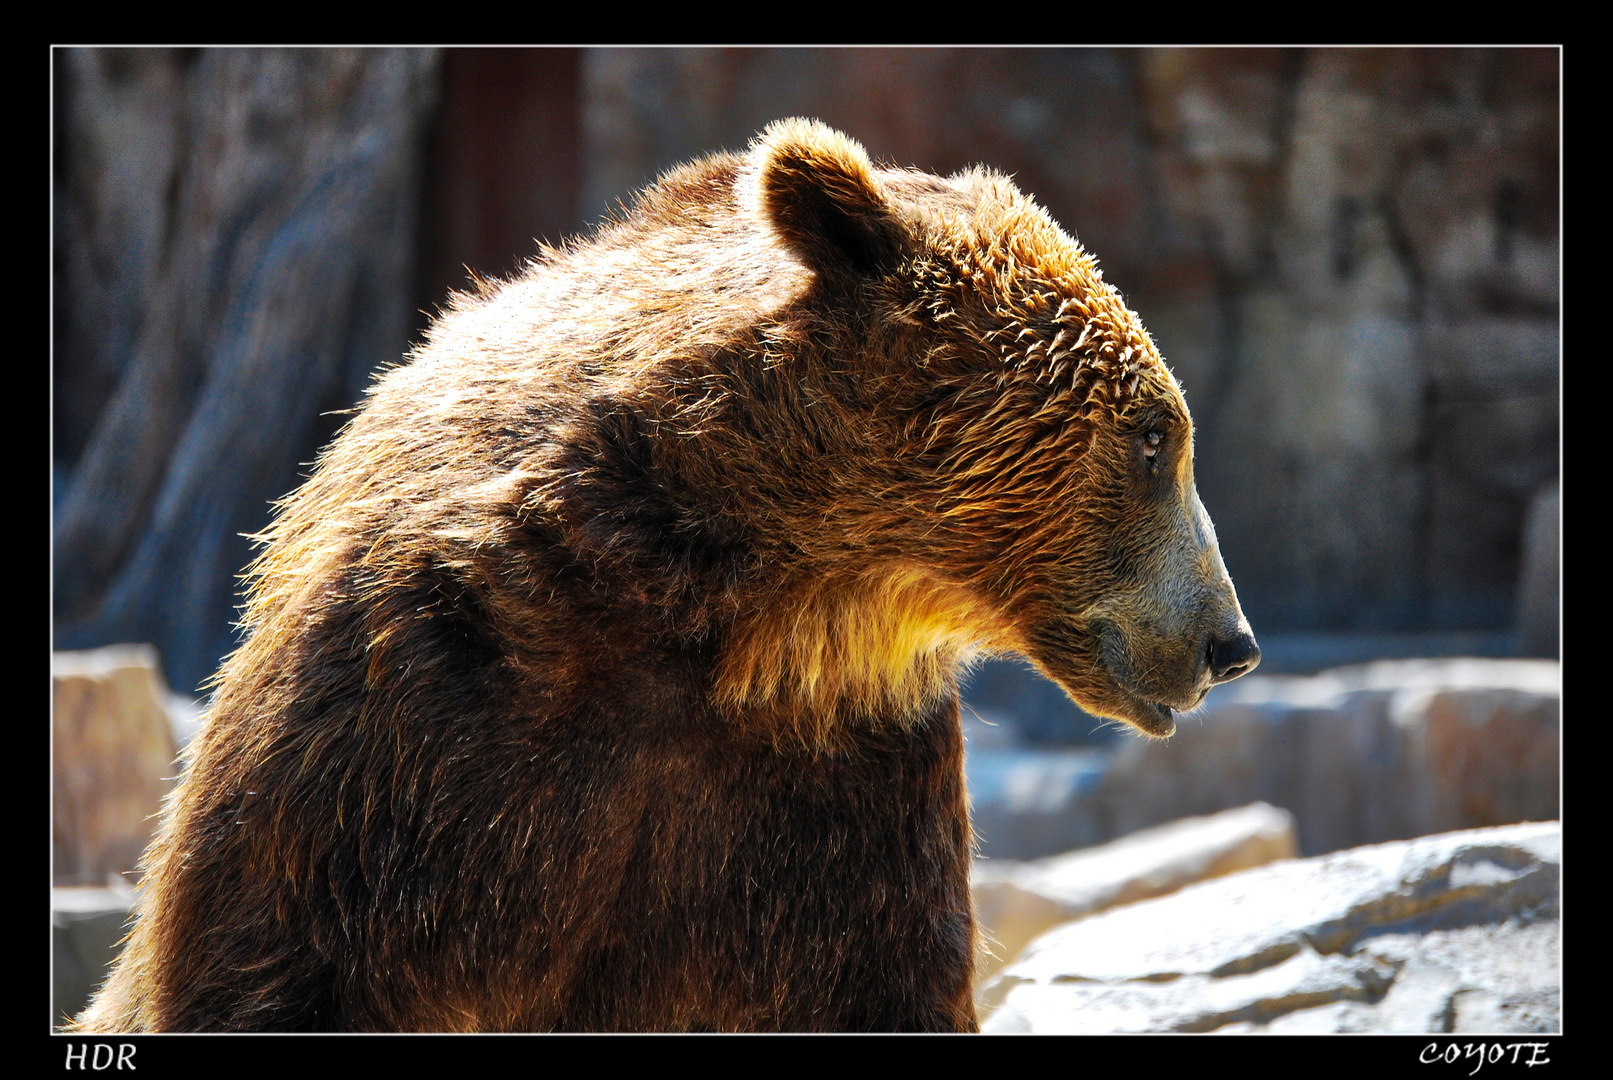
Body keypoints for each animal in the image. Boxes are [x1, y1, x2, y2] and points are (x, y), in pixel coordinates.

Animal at [72, 116, 1258, 1031]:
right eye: (1156, 437)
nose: (1228, 643)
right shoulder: (408, 729)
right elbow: (278, 956)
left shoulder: (836, 788)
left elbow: (882, 979)